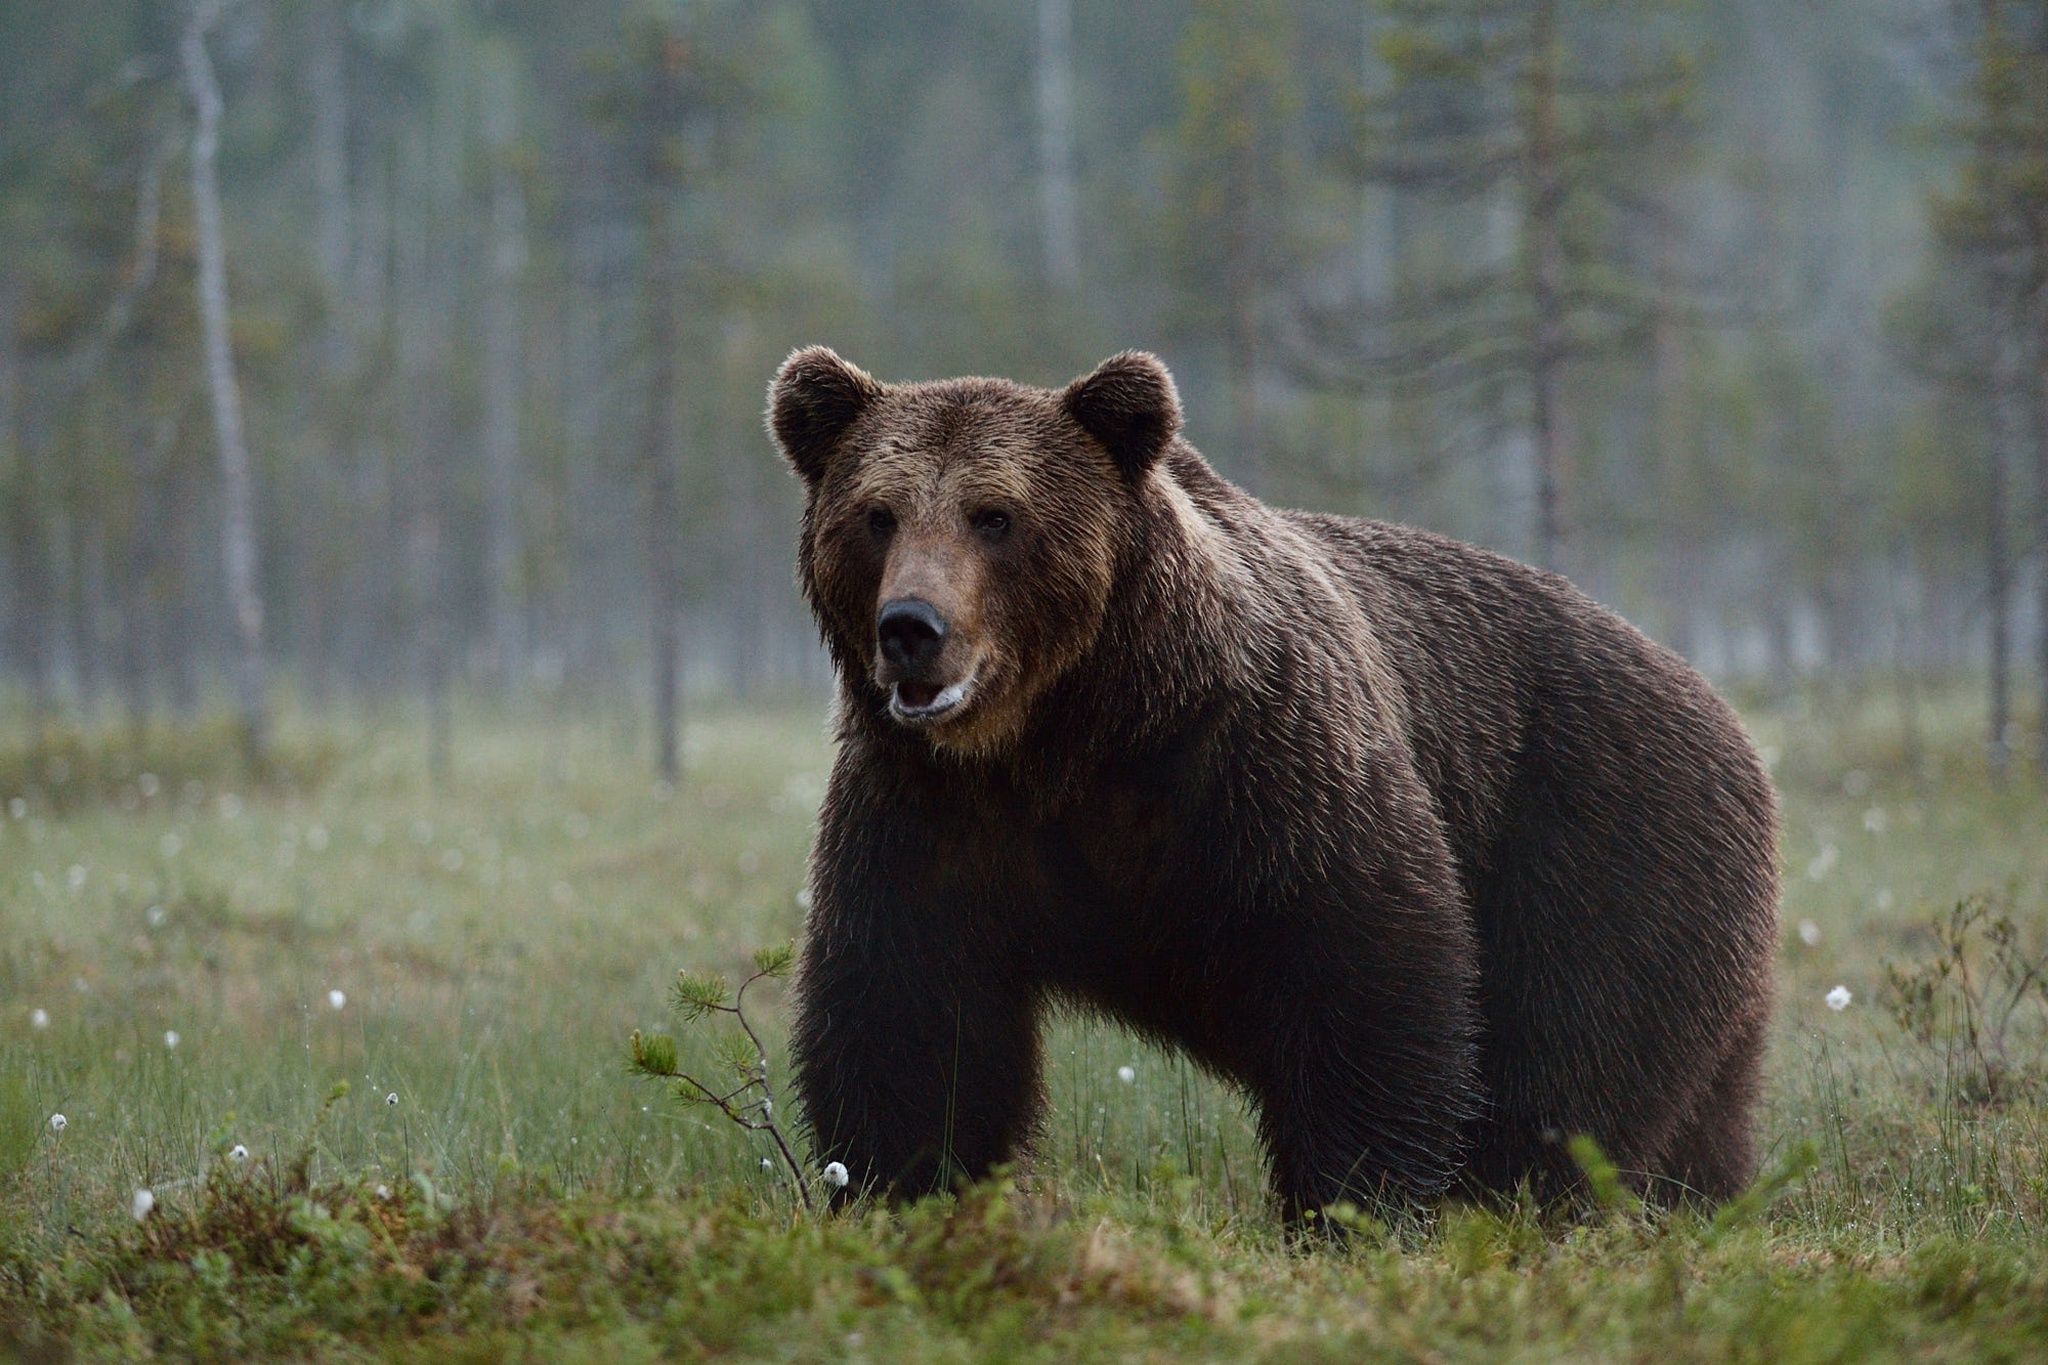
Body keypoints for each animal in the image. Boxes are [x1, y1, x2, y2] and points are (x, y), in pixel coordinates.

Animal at [765, 347, 1777, 1219]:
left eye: (996, 515)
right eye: (878, 514)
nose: (912, 627)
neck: (1068, 738)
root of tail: (1723, 711)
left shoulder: (1262, 772)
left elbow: (1365, 981)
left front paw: (1355, 1204)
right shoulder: (932, 817)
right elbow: (911, 1024)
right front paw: (898, 1187)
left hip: (1605, 834)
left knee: (1574, 1062)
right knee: (1700, 1109)